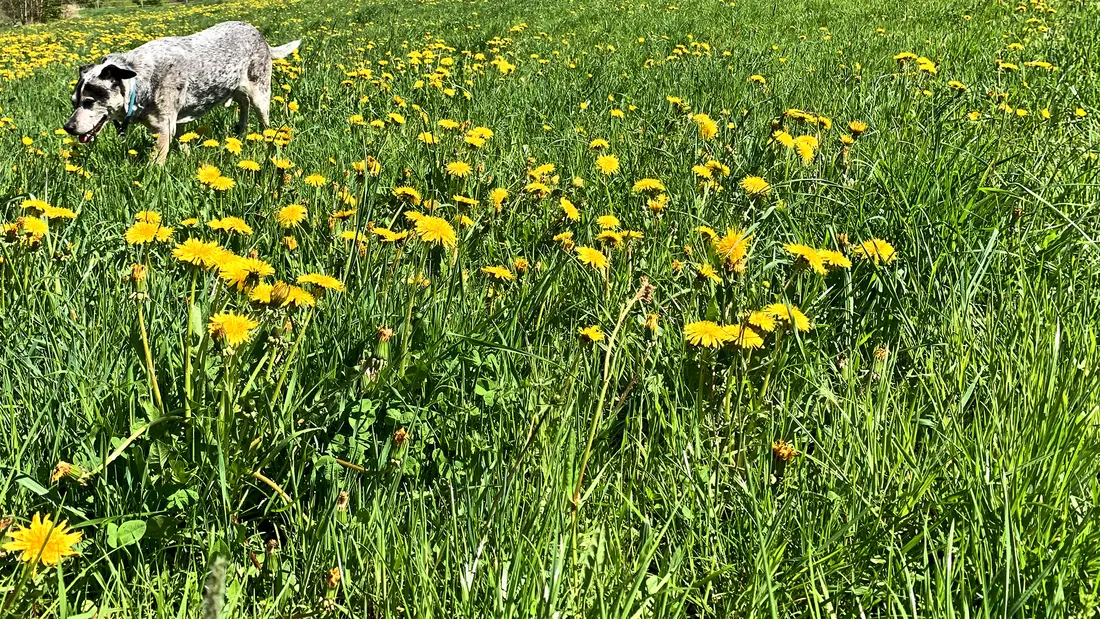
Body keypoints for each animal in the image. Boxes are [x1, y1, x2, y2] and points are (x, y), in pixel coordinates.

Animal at [63, 21, 297, 163]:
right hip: (238, 90)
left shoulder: (165, 128)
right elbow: (183, 142)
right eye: (74, 101)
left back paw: (266, 140)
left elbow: (157, 161)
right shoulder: (178, 122)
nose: (68, 127)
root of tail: (259, 35)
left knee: (263, 119)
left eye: (89, 102)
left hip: (261, 93)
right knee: (243, 106)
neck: (140, 80)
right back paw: (240, 133)